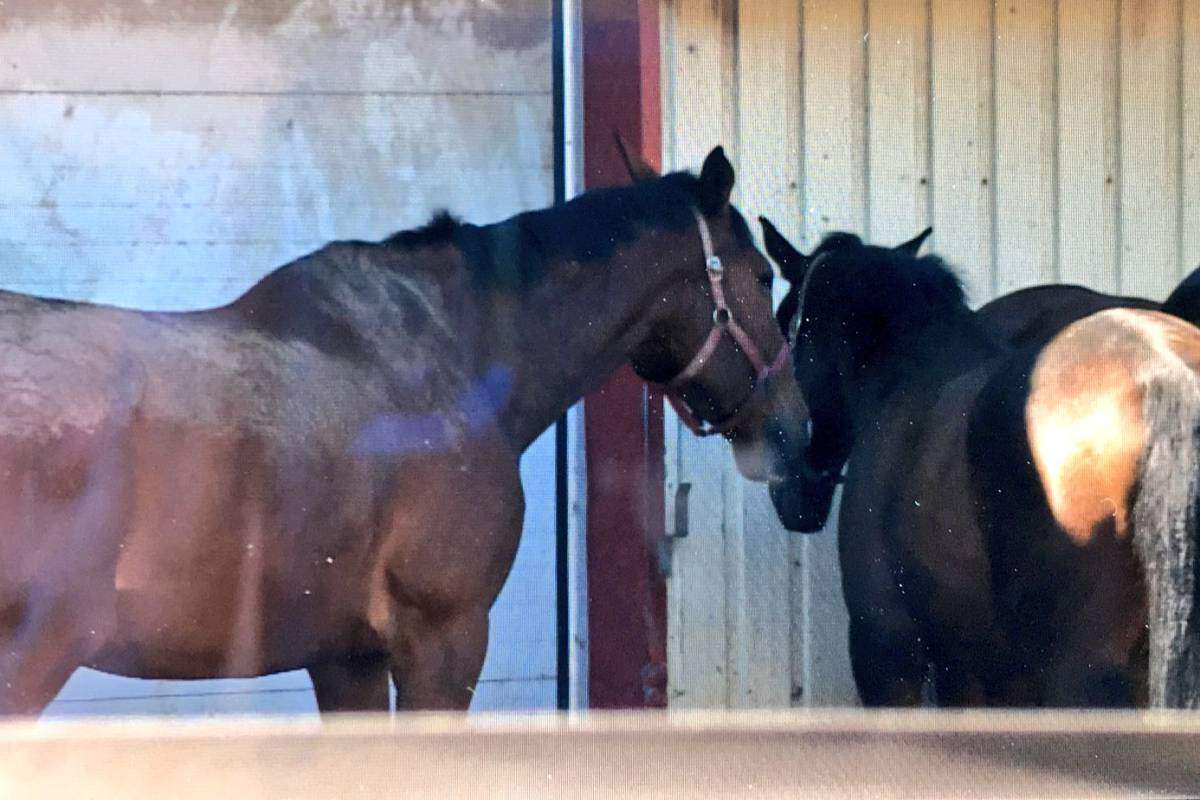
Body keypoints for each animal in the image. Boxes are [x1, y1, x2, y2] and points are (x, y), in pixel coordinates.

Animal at [760, 220, 1200, 708]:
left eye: (783, 323)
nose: (789, 493)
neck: (906, 378)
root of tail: (1165, 374)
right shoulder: (976, 668)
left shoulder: (886, 648)